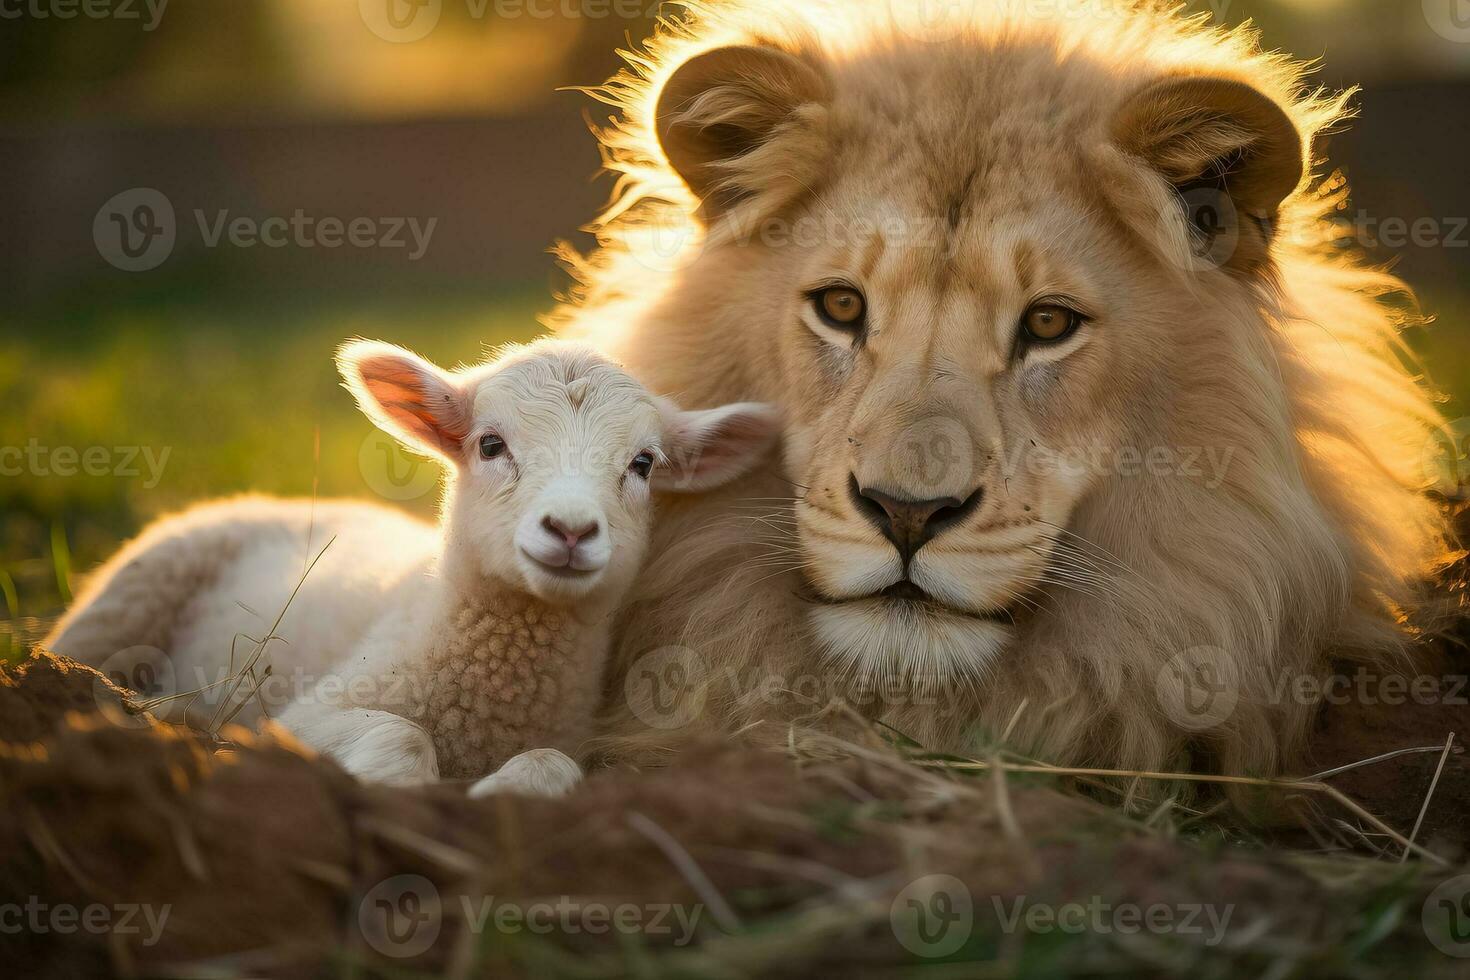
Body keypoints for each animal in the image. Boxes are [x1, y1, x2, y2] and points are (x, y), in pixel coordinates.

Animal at [42, 337, 782, 799]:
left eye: (644, 464)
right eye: (490, 444)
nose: (570, 530)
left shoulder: (570, 742)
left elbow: (548, 764)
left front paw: (503, 794)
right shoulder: (305, 716)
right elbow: (400, 734)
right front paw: (395, 791)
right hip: (121, 604)